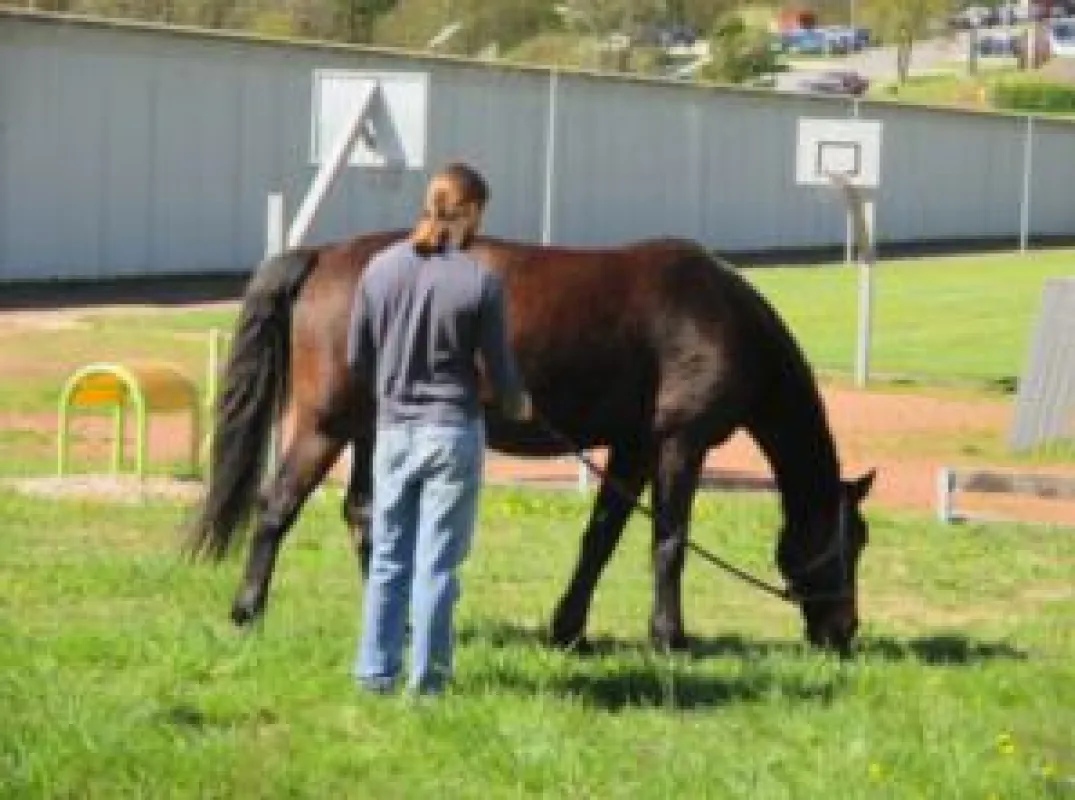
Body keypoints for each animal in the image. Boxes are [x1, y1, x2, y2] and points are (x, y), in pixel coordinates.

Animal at [186, 230, 875, 654]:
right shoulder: (683, 443)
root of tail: (325, 254)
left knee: (362, 515)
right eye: (851, 541)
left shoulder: (632, 448)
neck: (717, 315)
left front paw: (568, 630)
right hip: (327, 426)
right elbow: (669, 543)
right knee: (277, 507)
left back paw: (398, 623)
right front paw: (669, 638)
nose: (844, 630)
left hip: (371, 428)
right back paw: (247, 610)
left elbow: (601, 539)